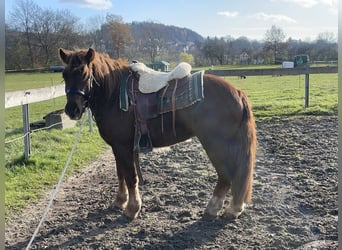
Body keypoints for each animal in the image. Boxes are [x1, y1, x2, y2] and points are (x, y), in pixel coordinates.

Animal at [59, 47, 256, 220]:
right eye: (64, 75)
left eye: (84, 74)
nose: (72, 110)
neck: (114, 95)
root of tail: (237, 92)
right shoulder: (117, 147)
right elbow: (120, 174)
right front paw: (120, 201)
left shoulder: (123, 147)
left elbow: (131, 177)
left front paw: (132, 209)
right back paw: (232, 208)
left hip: (215, 144)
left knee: (226, 176)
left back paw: (215, 209)